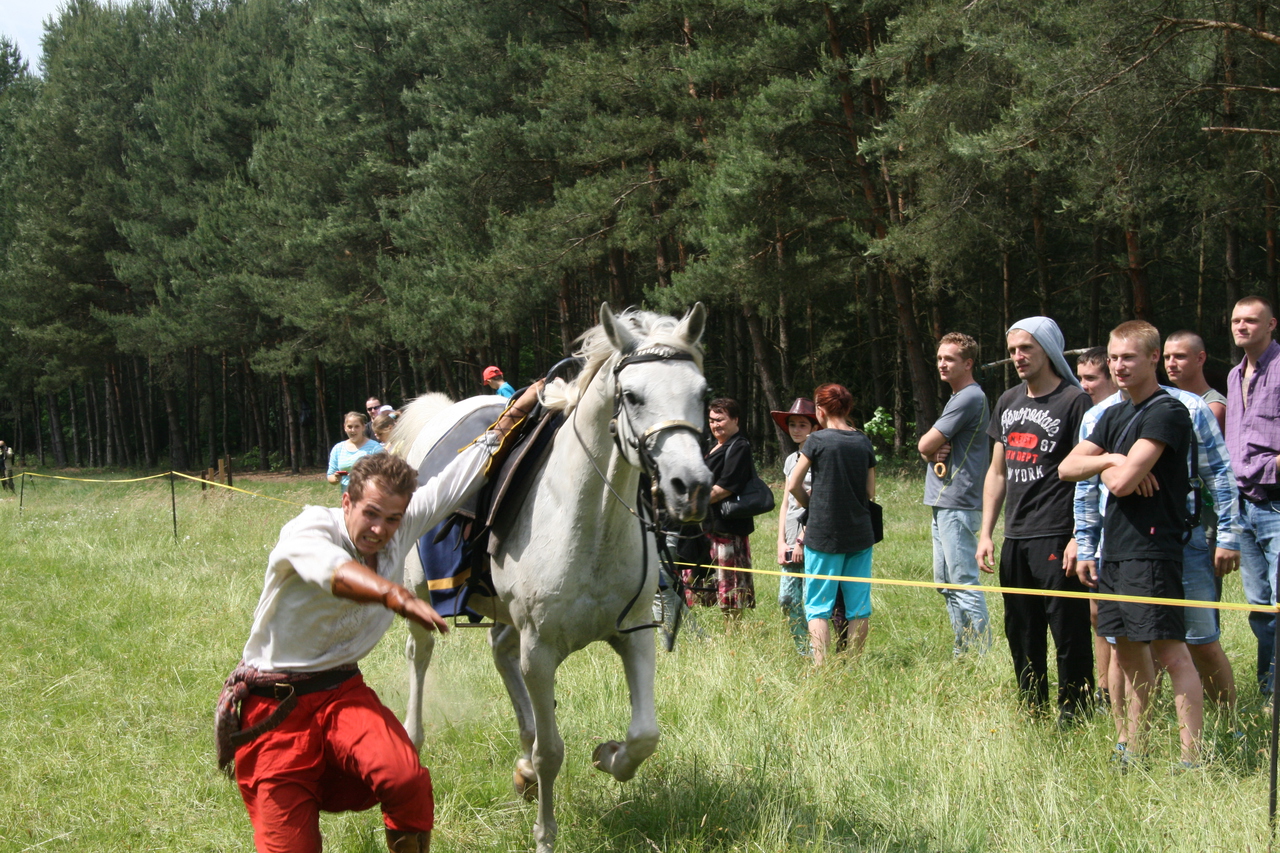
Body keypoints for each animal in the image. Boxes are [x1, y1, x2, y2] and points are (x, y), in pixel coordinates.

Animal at [391, 302, 711, 845]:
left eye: (703, 393)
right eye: (632, 395)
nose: (691, 486)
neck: (590, 526)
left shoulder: (635, 635)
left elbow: (645, 735)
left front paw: (608, 757)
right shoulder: (539, 653)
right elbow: (551, 752)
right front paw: (545, 835)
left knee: (500, 653)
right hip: (421, 598)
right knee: (421, 654)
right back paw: (413, 740)